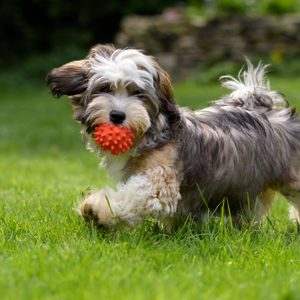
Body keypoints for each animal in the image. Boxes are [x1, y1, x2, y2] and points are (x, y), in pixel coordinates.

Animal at [45, 44, 300, 227]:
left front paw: (97, 210)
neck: (149, 136)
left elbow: (135, 196)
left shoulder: (159, 180)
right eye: (105, 88)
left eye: (138, 94)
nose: (117, 115)